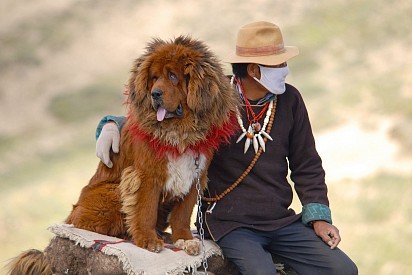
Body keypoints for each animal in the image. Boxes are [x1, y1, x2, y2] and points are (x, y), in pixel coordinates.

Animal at [8, 36, 238, 274]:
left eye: (173, 76)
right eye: (154, 78)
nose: (155, 94)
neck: (179, 132)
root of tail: (71, 216)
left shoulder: (195, 176)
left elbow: (182, 214)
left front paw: (184, 239)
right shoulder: (146, 176)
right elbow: (145, 210)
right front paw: (147, 240)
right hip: (111, 193)